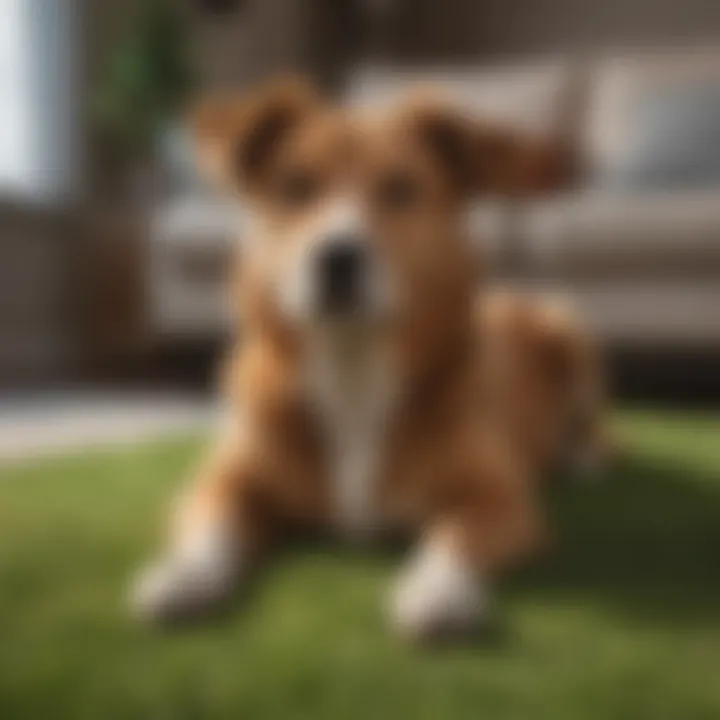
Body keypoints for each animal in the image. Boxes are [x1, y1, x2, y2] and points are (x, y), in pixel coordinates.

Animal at [132, 81, 592, 640]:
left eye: (400, 188)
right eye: (296, 186)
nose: (338, 258)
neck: (351, 362)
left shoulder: (498, 500)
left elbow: (451, 535)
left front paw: (437, 592)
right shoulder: (219, 481)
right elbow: (212, 532)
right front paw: (183, 578)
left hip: (569, 326)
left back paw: (581, 459)